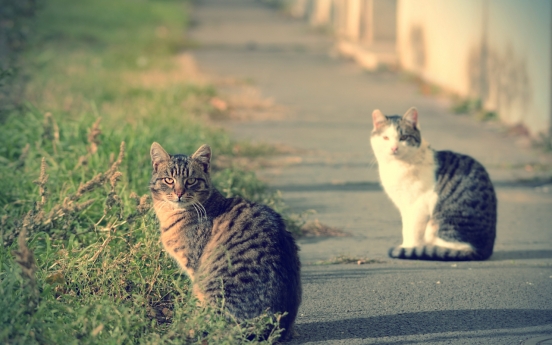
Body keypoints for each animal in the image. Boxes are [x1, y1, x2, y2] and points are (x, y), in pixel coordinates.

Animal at [149, 142, 302, 338]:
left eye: (191, 181)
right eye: (169, 180)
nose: (179, 193)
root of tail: (271, 329)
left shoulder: (195, 269)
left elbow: (197, 305)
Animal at [370, 106, 496, 260]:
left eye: (403, 137)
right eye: (385, 138)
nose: (394, 148)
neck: (397, 166)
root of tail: (485, 250)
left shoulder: (418, 205)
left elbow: (412, 231)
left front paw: (408, 248)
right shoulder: (404, 206)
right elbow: (405, 228)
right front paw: (407, 246)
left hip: (441, 224)